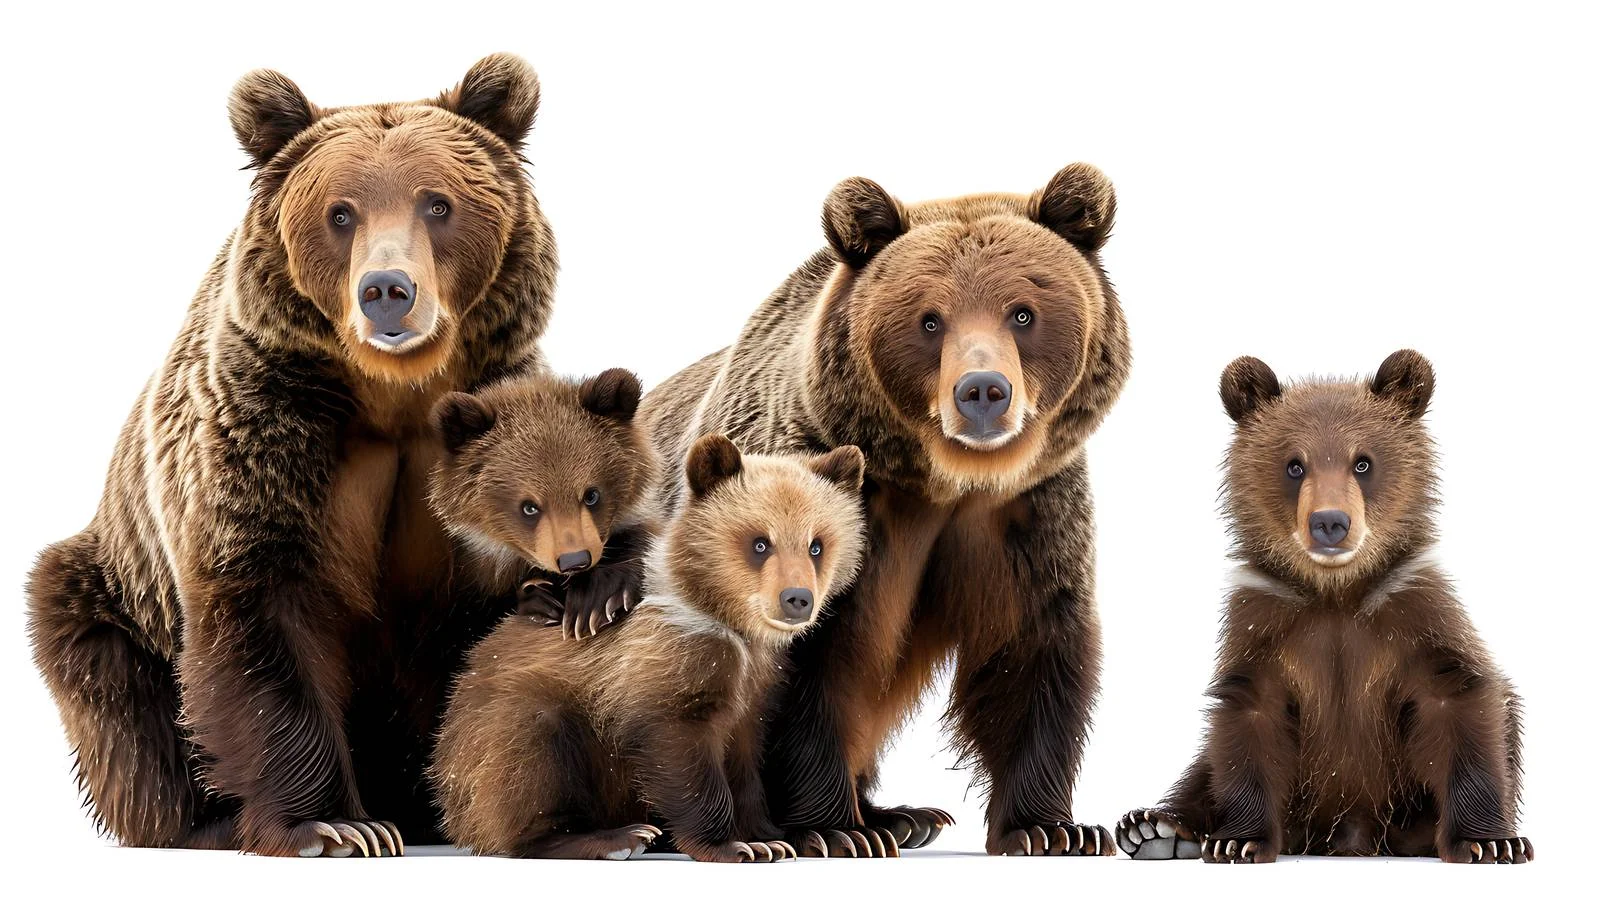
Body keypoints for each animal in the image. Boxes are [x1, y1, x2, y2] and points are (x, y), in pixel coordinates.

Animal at [25, 54, 555, 857]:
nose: (387, 291)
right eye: (341, 213)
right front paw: (337, 824)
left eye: (437, 204)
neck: (390, 397)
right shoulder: (267, 431)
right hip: (114, 596)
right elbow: (263, 604)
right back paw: (208, 820)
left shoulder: (475, 444)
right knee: (118, 698)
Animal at [430, 435, 868, 861]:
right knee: (529, 762)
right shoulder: (663, 664)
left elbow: (745, 760)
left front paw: (777, 837)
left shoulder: (756, 690)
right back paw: (612, 838)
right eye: (761, 543)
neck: (730, 627)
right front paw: (731, 844)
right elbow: (678, 750)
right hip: (504, 726)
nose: (797, 599)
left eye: (816, 545)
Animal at [638, 164, 1131, 856]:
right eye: (930, 321)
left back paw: (905, 815)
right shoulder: (825, 500)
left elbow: (1029, 649)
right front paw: (833, 830)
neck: (946, 484)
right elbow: (805, 663)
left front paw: (1050, 827)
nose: (983, 391)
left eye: (1023, 313)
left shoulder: (1026, 514)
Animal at [1114, 350, 1531, 864]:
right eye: (1295, 466)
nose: (1330, 522)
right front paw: (1238, 839)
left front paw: (1489, 840)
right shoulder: (1261, 625)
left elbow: (1458, 705)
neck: (1335, 592)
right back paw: (1155, 828)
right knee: (1202, 764)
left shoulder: (1416, 614)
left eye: (1363, 463)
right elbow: (1248, 721)